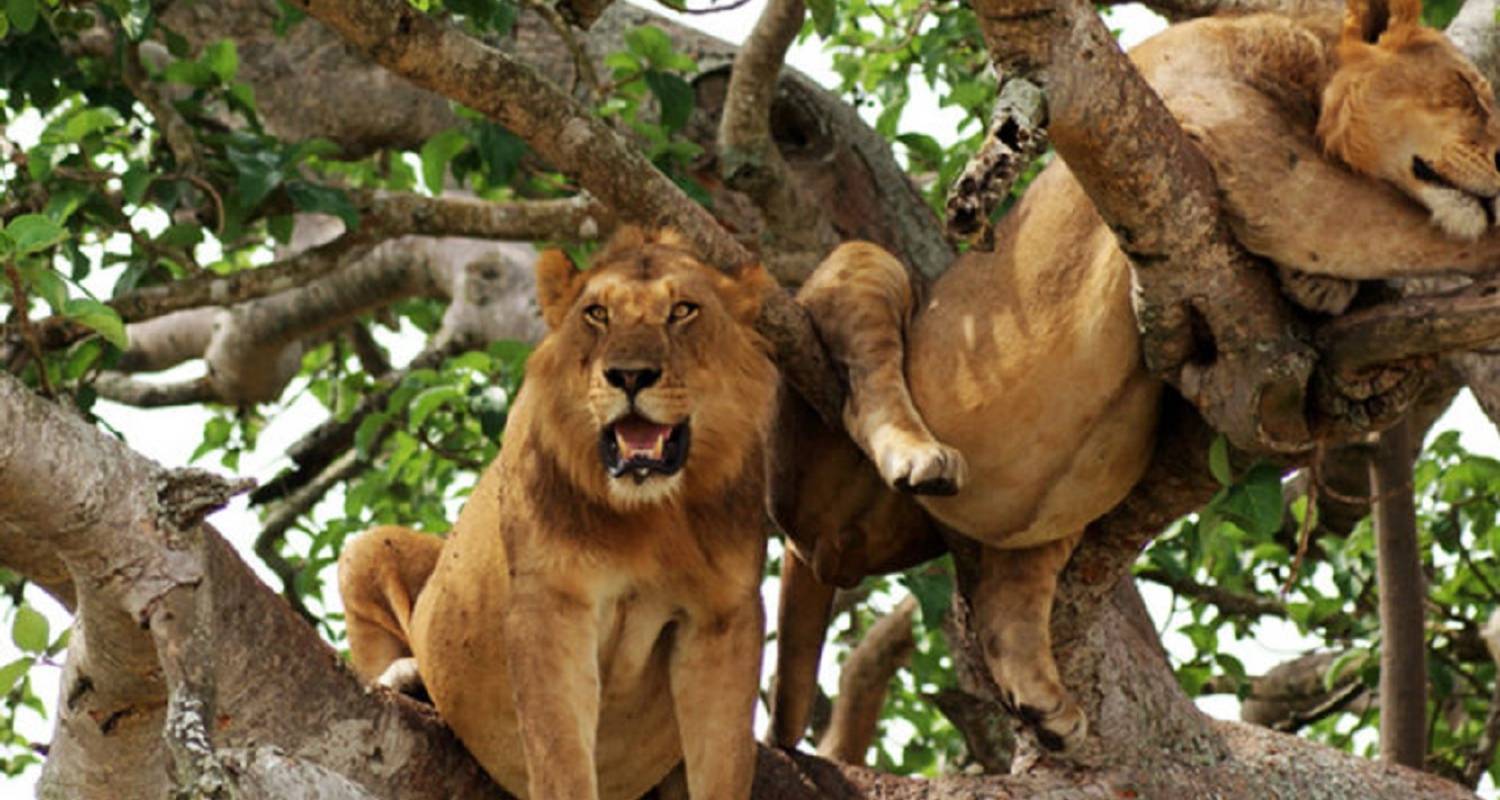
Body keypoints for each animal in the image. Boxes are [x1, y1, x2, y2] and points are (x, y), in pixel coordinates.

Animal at [336, 226, 780, 798]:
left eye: (683, 310)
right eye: (597, 314)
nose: (629, 375)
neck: (652, 515)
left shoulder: (724, 617)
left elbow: (722, 764)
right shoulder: (550, 601)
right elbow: (560, 755)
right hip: (366, 549)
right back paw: (406, 676)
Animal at [768, 0, 1500, 753]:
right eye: (1469, 93)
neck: (1305, 67)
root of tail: (821, 552)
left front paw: (1318, 287)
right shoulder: (1232, 141)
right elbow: (1413, 230)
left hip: (1047, 515)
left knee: (1011, 588)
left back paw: (1041, 701)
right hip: (864, 274)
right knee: (864, 382)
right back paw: (917, 456)